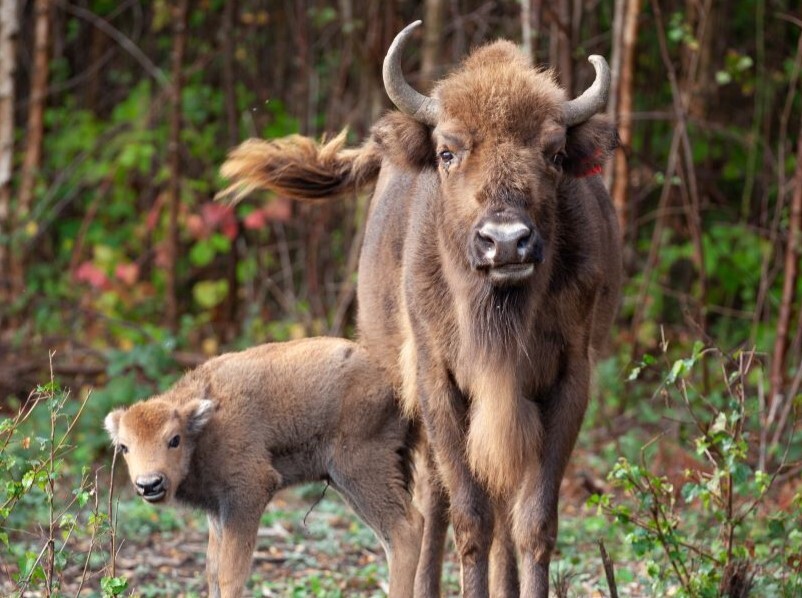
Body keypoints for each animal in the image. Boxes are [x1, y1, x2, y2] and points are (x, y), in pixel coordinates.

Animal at [104, 340, 424, 596]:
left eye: (174, 439)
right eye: (124, 446)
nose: (149, 484)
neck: (204, 428)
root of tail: (394, 382)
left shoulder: (248, 493)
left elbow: (230, 573)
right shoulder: (217, 510)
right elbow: (212, 570)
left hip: (361, 470)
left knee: (405, 530)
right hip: (348, 484)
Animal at [222, 21, 620, 596]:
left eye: (554, 154)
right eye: (448, 152)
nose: (505, 242)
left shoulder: (566, 382)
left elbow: (533, 521)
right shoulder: (438, 382)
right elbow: (470, 516)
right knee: (434, 501)